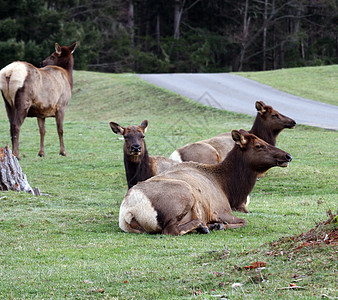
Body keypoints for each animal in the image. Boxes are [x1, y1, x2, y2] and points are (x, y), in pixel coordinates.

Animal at [119, 130, 294, 236]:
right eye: (259, 145)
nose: (288, 156)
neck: (227, 187)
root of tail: (129, 210)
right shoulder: (222, 210)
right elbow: (243, 221)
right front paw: (219, 225)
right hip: (185, 194)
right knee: (171, 230)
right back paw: (204, 225)